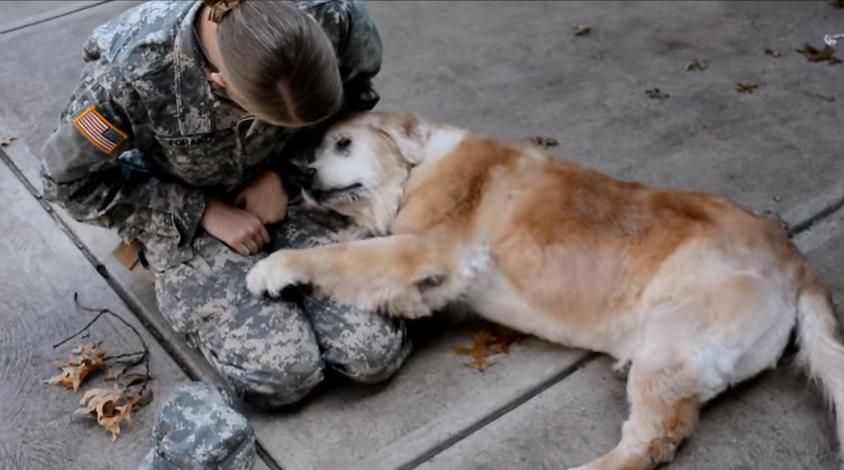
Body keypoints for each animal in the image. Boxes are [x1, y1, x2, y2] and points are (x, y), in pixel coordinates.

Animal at [246, 114, 844, 470]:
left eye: (344, 143)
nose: (300, 176)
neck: (416, 171)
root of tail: (793, 258)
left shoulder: (427, 251)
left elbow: (340, 256)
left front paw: (273, 266)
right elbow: (348, 246)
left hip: (673, 343)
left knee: (649, 443)